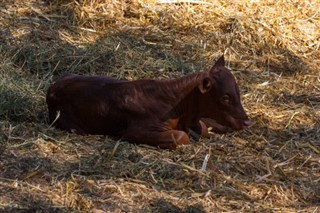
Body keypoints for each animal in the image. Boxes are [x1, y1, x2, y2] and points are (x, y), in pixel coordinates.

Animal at [46, 55, 250, 148]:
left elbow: (203, 128)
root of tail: (53, 88)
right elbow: (181, 137)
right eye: (225, 97)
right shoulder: (136, 130)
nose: (247, 122)